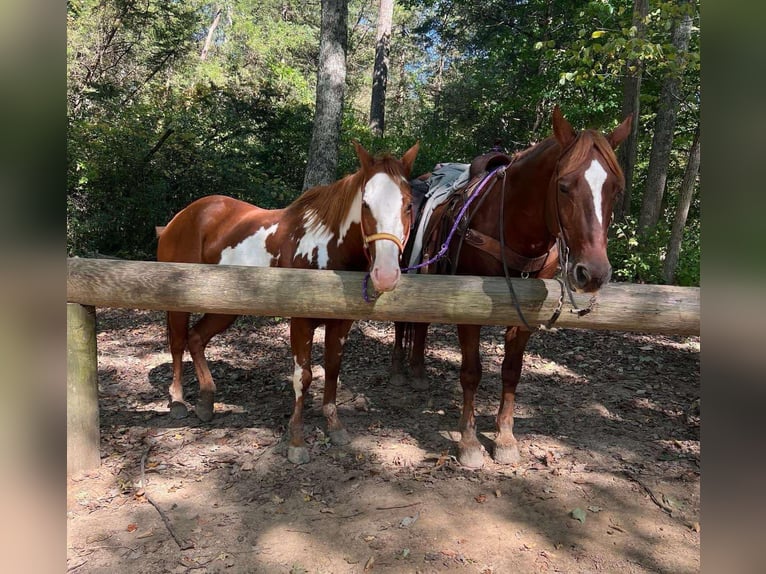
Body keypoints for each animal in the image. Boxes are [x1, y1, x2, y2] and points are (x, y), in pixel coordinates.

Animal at [157, 140, 419, 464]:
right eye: (366, 204)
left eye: (408, 205)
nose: (385, 274)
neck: (326, 249)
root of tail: (181, 217)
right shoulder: (301, 322)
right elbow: (303, 376)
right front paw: (296, 441)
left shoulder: (341, 324)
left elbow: (332, 369)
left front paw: (334, 426)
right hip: (179, 301)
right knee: (178, 343)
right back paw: (179, 401)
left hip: (225, 306)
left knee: (195, 338)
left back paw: (206, 402)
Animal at [391, 106, 631, 468]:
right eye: (563, 186)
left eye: (616, 189)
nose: (593, 273)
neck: (513, 227)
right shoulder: (469, 310)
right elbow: (472, 372)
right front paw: (469, 443)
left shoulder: (525, 313)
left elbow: (511, 371)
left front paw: (505, 439)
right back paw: (398, 368)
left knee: (421, 324)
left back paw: (418, 371)